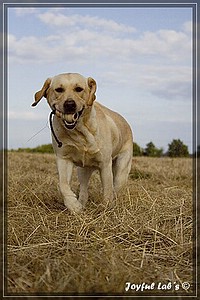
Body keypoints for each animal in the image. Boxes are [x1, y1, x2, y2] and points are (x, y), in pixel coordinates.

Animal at [32, 73, 133, 212]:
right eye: (59, 90)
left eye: (79, 89)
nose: (69, 104)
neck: (80, 132)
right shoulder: (63, 159)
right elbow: (63, 185)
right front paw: (73, 205)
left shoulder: (105, 164)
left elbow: (107, 190)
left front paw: (105, 209)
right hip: (83, 170)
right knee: (84, 190)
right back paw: (81, 203)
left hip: (121, 171)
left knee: (116, 188)